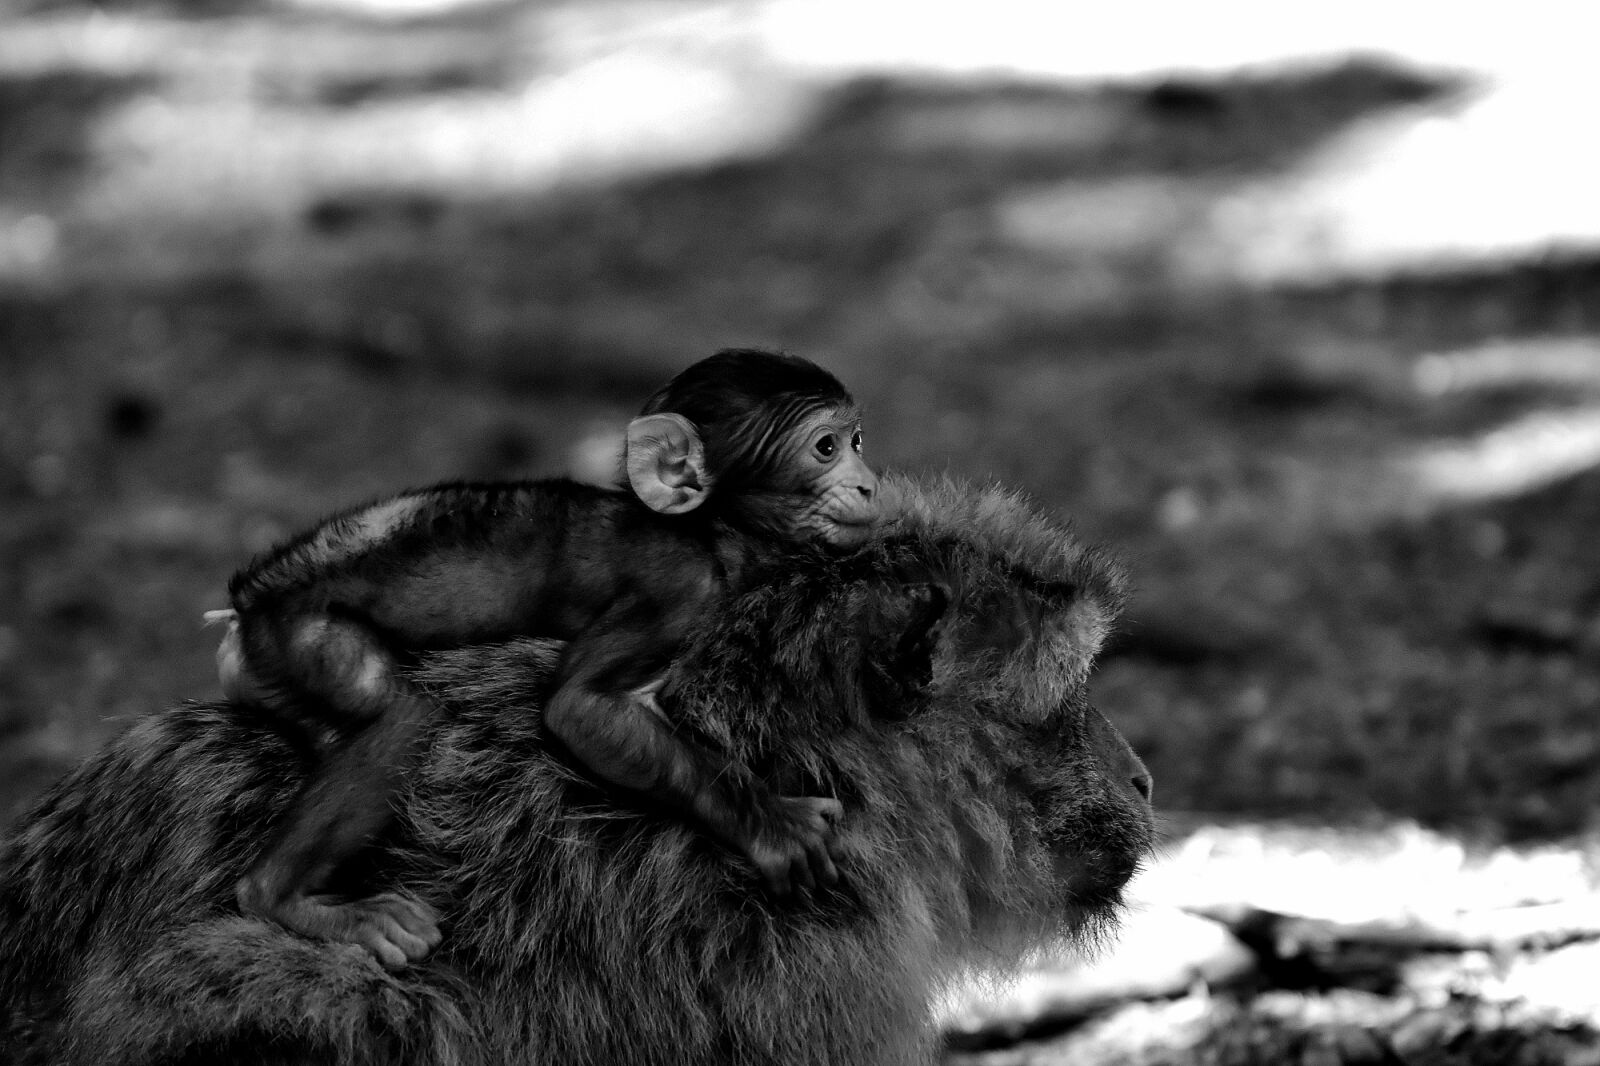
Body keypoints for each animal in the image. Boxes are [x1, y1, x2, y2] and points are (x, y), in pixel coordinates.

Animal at [211, 349, 881, 967]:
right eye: (826, 447)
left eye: (857, 441)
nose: (871, 483)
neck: (711, 532)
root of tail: (247, 607)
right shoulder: (680, 588)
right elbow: (580, 709)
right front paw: (769, 823)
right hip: (299, 636)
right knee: (399, 716)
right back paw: (282, 899)